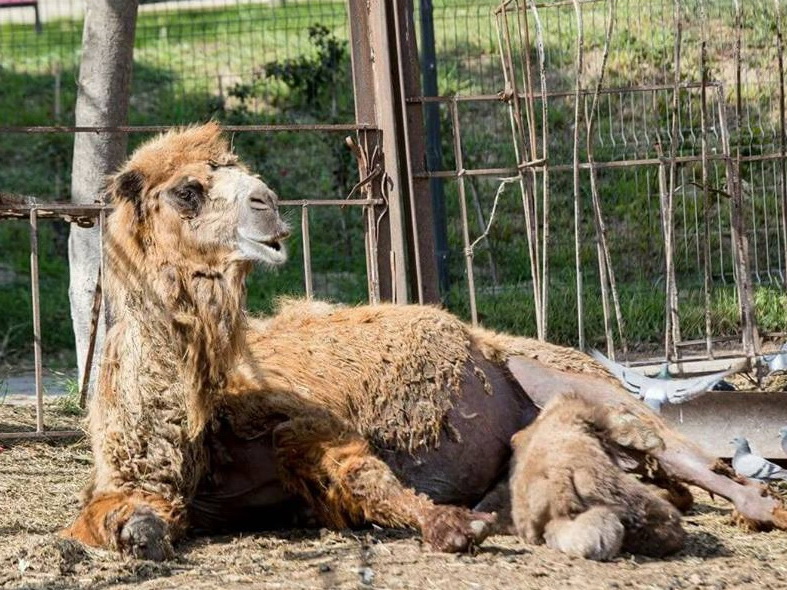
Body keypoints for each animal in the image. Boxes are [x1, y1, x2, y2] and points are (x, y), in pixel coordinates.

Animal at [63, 123, 787, 560]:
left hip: (568, 377)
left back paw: (758, 507)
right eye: (187, 190)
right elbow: (117, 516)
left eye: (239, 176)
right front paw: (140, 532)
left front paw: (450, 525)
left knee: (685, 453)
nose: (268, 204)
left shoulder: (303, 422)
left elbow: (359, 473)